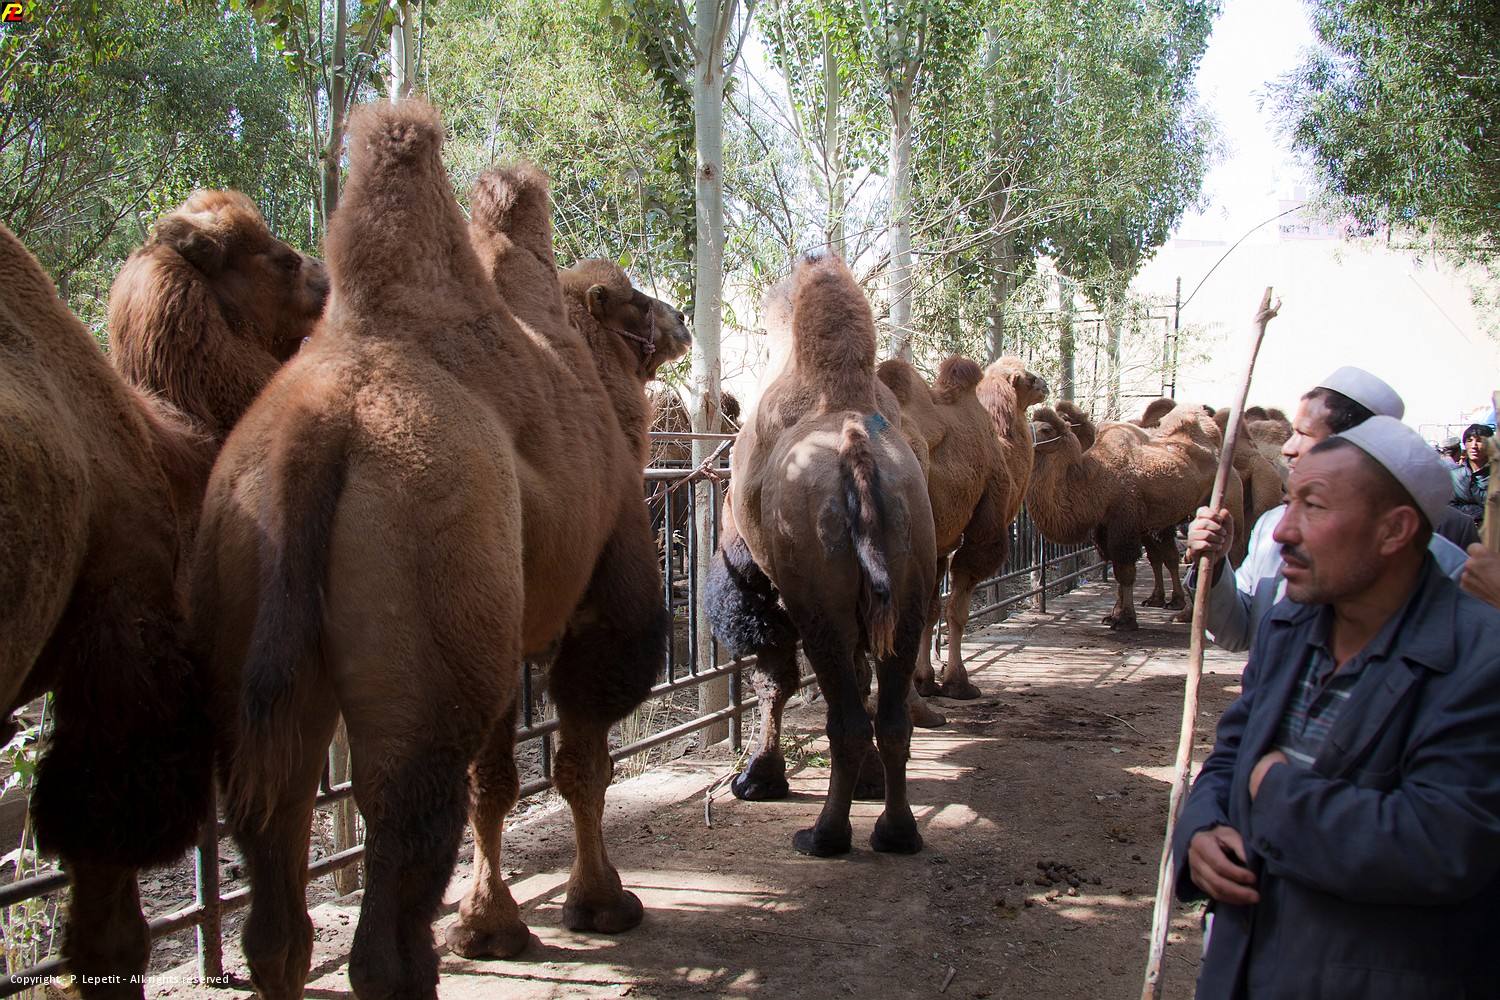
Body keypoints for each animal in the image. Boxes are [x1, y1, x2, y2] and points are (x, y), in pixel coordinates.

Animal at [190, 100, 689, 1000]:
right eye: (634, 299)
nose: (679, 318)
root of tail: (315, 429)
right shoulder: (606, 588)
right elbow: (580, 763)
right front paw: (600, 904)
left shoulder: (497, 618)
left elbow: (498, 780)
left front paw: (492, 926)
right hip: (424, 603)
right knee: (405, 819)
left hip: (249, 611)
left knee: (276, 847)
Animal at [706, 252, 936, 856]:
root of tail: (856, 444)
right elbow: (856, 676)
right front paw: (870, 783)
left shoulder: (756, 579)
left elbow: (773, 680)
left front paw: (757, 779)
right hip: (907, 589)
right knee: (890, 714)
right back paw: (896, 831)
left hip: (818, 605)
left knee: (845, 718)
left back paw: (824, 835)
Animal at [877, 355, 1047, 702]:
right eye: (1028, 376)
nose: (1045, 385)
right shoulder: (985, 529)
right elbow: (957, 609)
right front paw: (958, 681)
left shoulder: (939, 546)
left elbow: (931, 611)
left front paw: (925, 679)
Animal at [1025, 402, 1226, 630]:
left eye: (1046, 429)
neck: (1097, 476)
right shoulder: (1108, 527)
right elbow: (1122, 567)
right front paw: (1115, 614)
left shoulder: (1126, 523)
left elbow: (1127, 573)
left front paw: (1126, 620)